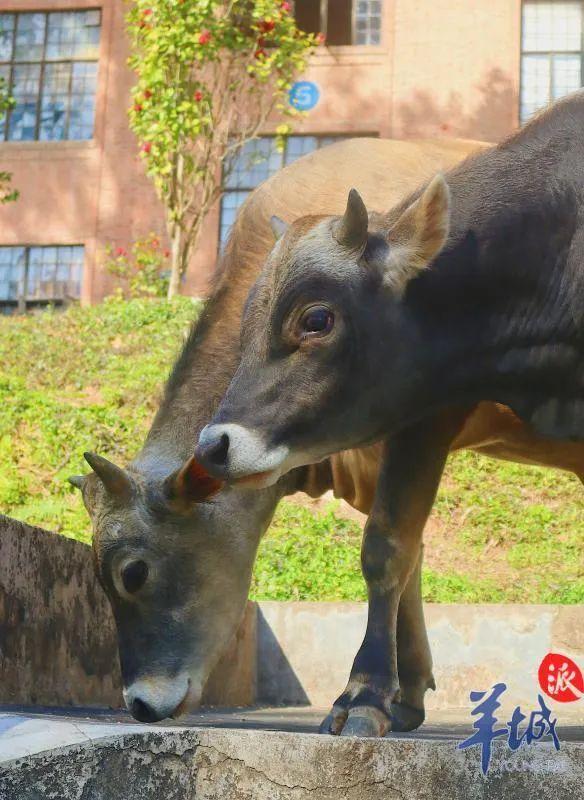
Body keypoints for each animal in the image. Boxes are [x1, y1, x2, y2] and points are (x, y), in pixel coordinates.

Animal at [70, 134, 580, 736]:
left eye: (134, 573)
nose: (140, 705)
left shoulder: (424, 416)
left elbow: (386, 548)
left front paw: (366, 697)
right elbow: (410, 556)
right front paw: (406, 695)